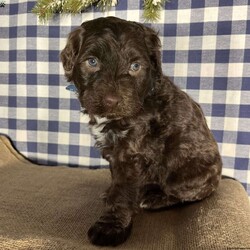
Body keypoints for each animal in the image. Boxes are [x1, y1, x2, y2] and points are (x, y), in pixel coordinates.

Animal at [61, 17, 223, 246]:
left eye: (135, 66)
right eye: (92, 62)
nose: (111, 101)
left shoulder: (131, 152)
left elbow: (122, 191)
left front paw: (110, 227)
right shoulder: (115, 151)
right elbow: (117, 180)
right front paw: (110, 195)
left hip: (182, 175)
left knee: (186, 194)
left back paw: (154, 199)